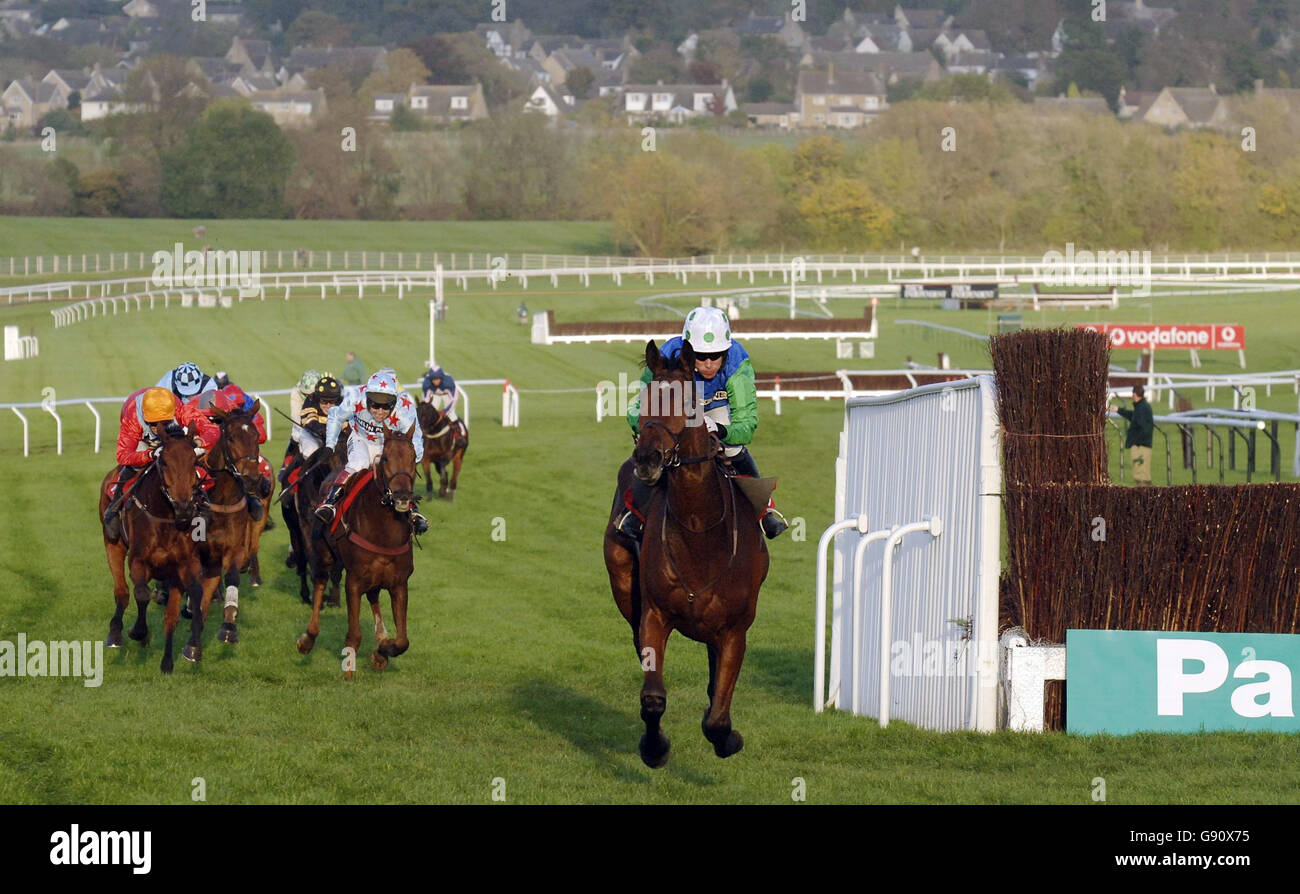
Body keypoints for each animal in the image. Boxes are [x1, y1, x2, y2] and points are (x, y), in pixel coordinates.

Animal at [100, 426, 205, 670]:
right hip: (113, 544)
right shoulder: (138, 561)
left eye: (194, 460)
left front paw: (174, 657)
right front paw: (138, 631)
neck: (165, 517)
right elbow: (141, 593)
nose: (185, 507)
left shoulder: (184, 565)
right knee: (122, 591)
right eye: (164, 462)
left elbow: (177, 611)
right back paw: (116, 634)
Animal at [600, 337, 764, 764]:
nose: (647, 459)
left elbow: (718, 719)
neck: (698, 532)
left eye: (690, 403)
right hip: (623, 584)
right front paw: (654, 747)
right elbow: (653, 698)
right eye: (644, 397)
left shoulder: (734, 629)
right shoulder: (654, 615)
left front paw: (729, 739)